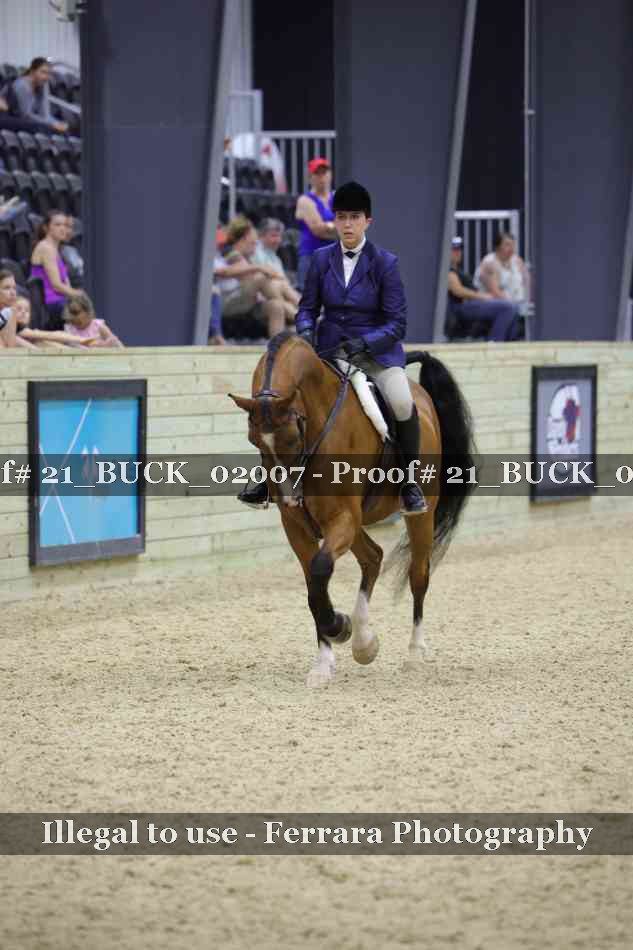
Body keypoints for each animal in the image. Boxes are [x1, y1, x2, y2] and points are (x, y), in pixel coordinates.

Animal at [229, 331, 475, 687]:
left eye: (293, 436)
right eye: (254, 441)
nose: (290, 498)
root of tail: (419, 394)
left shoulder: (342, 517)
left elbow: (320, 572)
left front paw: (338, 627)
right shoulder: (298, 526)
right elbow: (314, 588)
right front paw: (325, 661)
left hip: (420, 515)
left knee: (418, 574)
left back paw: (414, 654)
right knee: (373, 557)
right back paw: (364, 642)